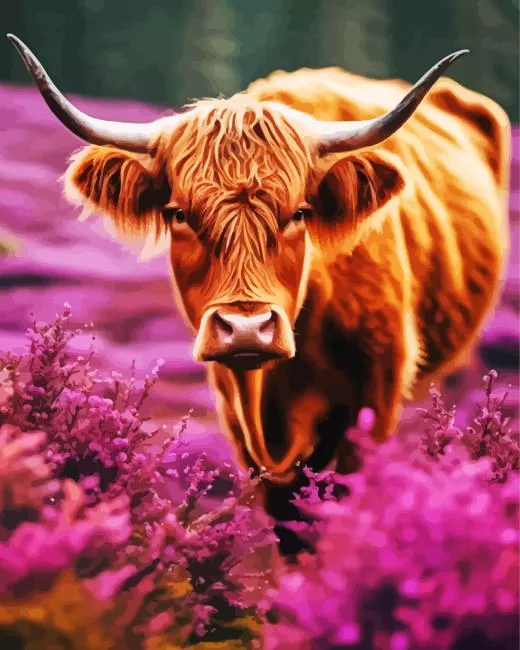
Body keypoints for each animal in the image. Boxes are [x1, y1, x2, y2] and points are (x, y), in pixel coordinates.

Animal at [9, 35, 511, 554]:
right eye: (180, 213)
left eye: (300, 213)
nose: (247, 328)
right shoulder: (235, 414)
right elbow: (289, 521)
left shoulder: (375, 392)